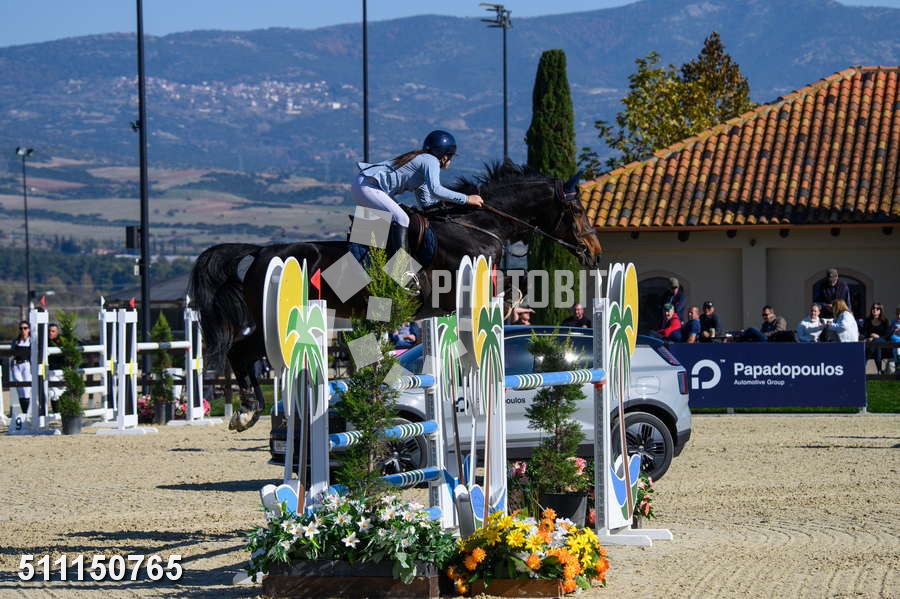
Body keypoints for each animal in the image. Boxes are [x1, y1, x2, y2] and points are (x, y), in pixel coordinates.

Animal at [189, 161, 602, 431]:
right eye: (577, 209)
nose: (594, 252)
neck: (477, 225)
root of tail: (261, 252)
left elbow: (519, 282)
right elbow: (516, 284)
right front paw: (510, 310)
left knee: (243, 354)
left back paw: (247, 412)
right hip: (274, 321)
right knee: (240, 353)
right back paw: (246, 413)